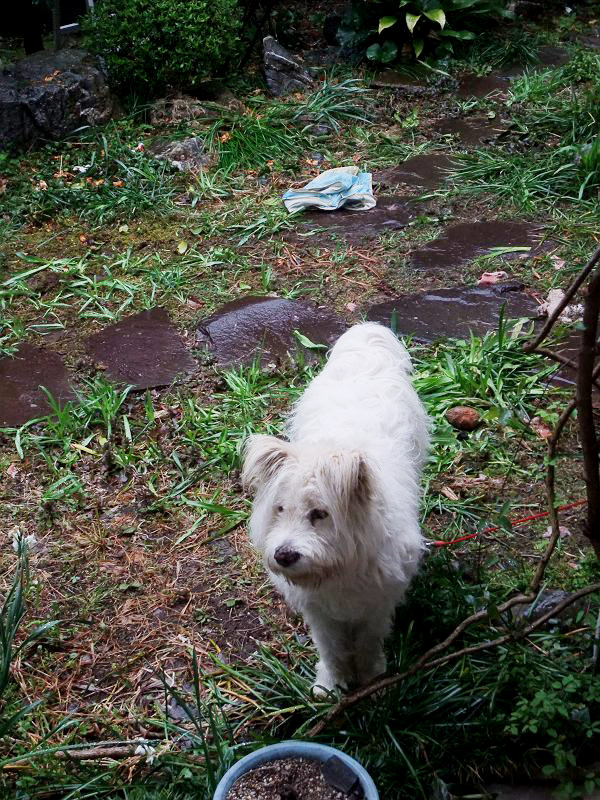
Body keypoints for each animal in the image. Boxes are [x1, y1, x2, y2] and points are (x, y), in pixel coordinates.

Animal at [242, 322, 429, 695]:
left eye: (320, 514)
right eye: (279, 509)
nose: (284, 555)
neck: (338, 567)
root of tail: (365, 347)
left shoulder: (377, 605)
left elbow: (369, 643)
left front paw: (372, 678)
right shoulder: (321, 614)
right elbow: (331, 649)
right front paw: (330, 684)